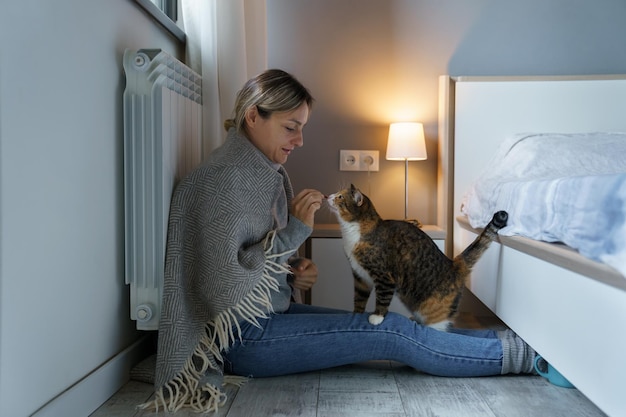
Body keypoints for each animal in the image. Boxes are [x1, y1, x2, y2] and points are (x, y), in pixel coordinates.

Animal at [324, 184, 504, 330]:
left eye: (340, 196)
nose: (327, 196)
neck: (353, 232)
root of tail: (454, 264)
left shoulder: (384, 277)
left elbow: (382, 297)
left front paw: (377, 316)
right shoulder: (360, 276)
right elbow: (359, 298)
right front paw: (356, 315)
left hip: (433, 313)